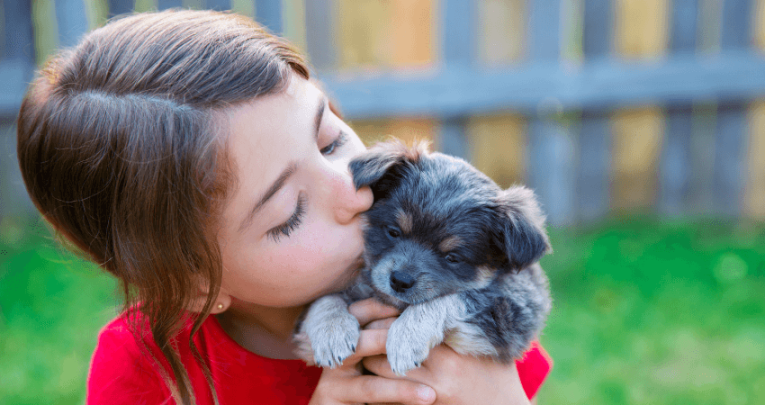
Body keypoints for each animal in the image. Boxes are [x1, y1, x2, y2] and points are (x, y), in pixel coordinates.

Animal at [290, 140, 548, 374]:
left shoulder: (513, 310)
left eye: (452, 258)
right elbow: (324, 298)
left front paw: (406, 338)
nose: (400, 281)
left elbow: (450, 298)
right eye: (393, 232)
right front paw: (331, 332)